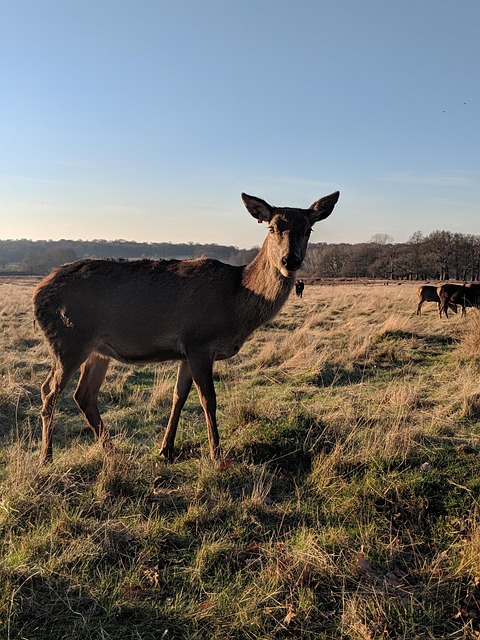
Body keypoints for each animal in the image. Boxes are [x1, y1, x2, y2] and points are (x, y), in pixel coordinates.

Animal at [33, 190, 339, 464]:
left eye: (308, 229)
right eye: (273, 227)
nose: (290, 260)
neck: (235, 301)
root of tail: (38, 293)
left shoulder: (186, 350)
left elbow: (178, 396)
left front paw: (166, 450)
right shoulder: (199, 342)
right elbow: (208, 399)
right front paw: (217, 455)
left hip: (97, 350)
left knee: (84, 395)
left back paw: (113, 452)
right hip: (69, 340)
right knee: (49, 390)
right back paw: (46, 458)